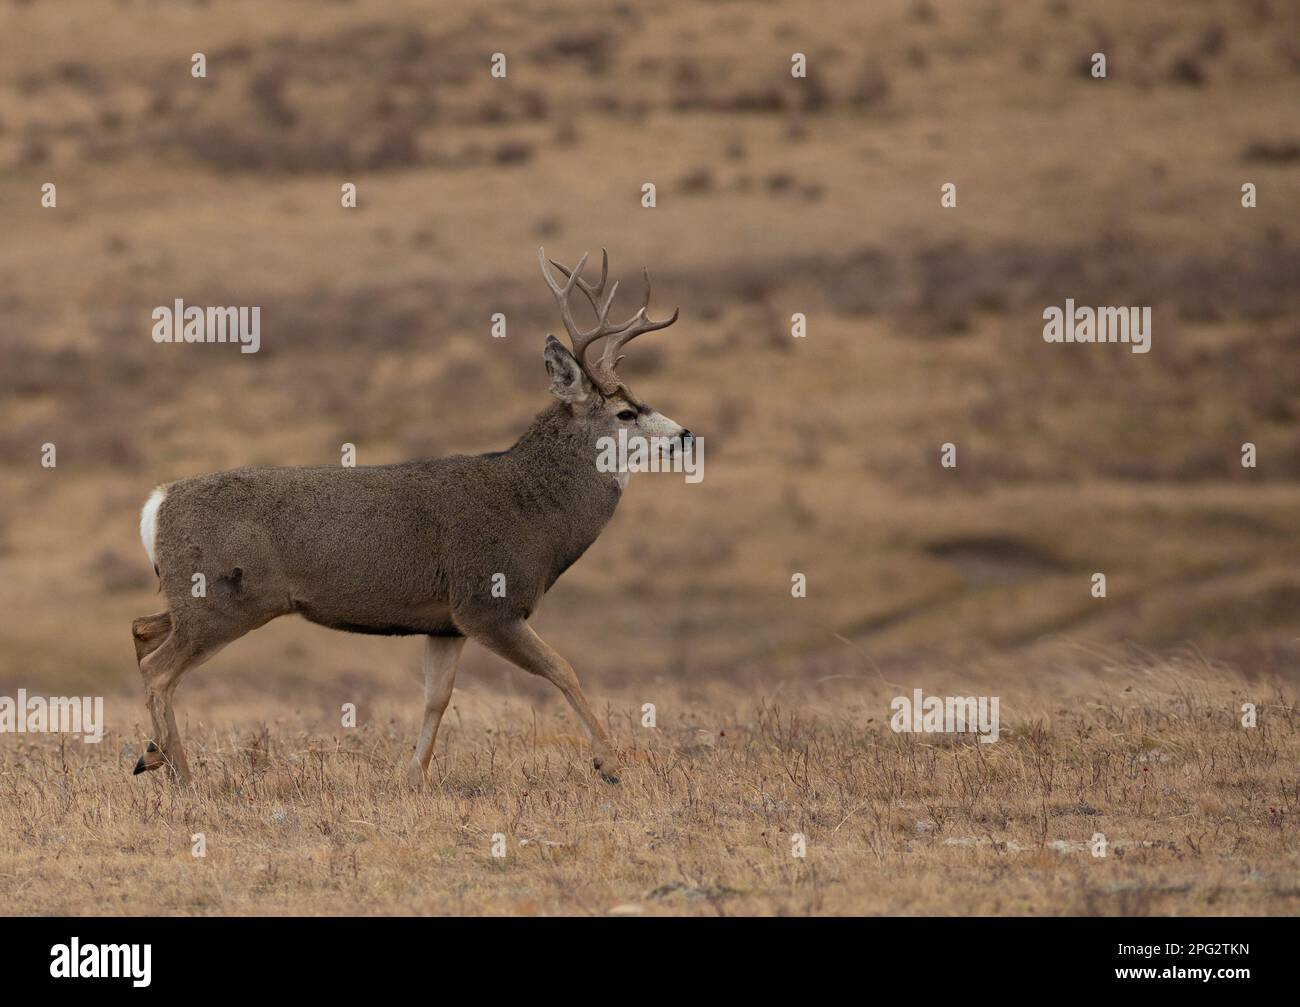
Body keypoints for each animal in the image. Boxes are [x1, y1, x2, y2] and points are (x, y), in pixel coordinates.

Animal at [130, 248, 693, 787]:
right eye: (625, 413)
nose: (685, 436)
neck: (534, 512)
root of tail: (157, 504)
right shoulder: (487, 603)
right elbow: (563, 669)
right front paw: (610, 764)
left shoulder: (445, 623)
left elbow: (436, 698)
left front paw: (412, 776)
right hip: (221, 600)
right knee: (159, 669)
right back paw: (180, 774)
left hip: (199, 599)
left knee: (143, 631)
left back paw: (154, 755)